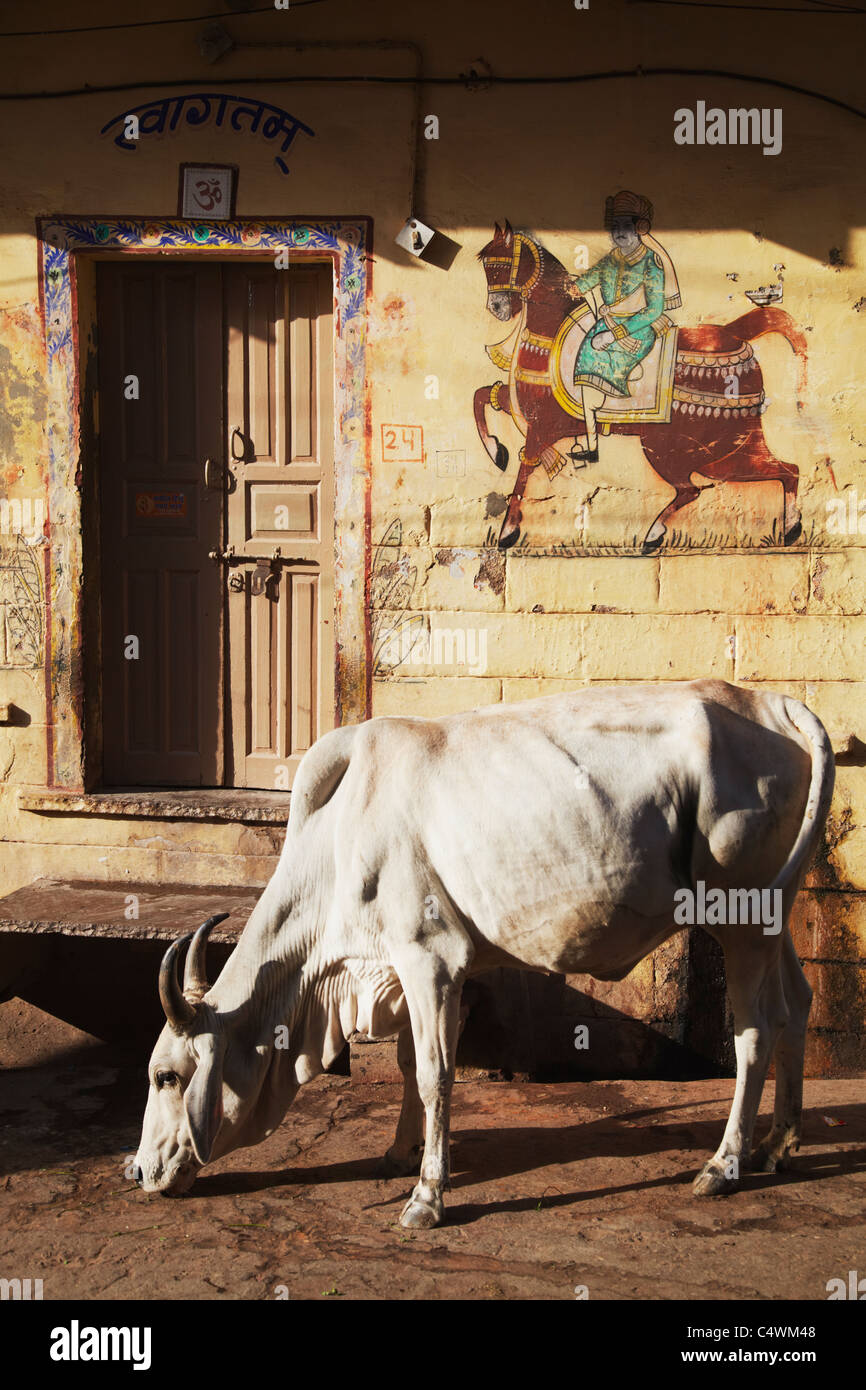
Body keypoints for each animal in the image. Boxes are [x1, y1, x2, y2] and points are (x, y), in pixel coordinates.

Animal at [135, 681, 834, 1228]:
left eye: (167, 1075)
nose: (137, 1171)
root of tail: (771, 703)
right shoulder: (416, 971)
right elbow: (409, 1063)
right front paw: (400, 1154)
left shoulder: (430, 960)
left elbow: (433, 1074)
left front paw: (427, 1195)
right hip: (773, 917)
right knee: (796, 1006)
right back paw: (779, 1143)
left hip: (741, 920)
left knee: (755, 1032)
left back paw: (725, 1163)